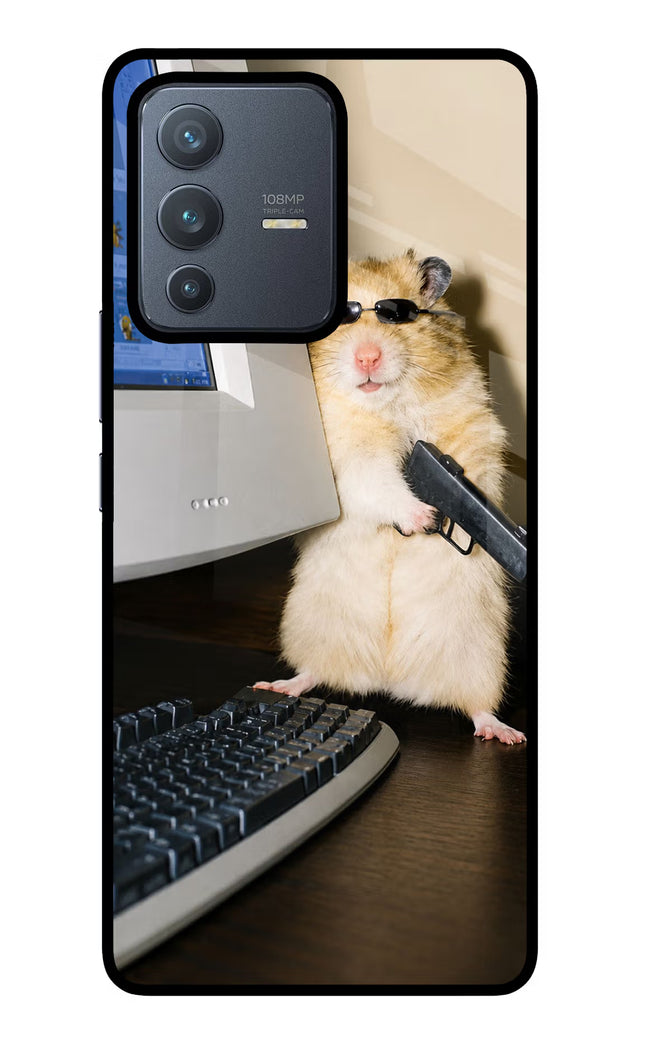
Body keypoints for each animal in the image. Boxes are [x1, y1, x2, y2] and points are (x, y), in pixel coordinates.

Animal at [256, 251, 526, 744]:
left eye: (396, 315)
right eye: (342, 318)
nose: (367, 357)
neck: (385, 404)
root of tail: (389, 679)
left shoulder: (471, 428)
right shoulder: (348, 459)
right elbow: (378, 482)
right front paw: (423, 518)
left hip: (480, 654)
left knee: (477, 706)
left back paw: (505, 733)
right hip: (311, 627)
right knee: (314, 672)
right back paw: (279, 685)